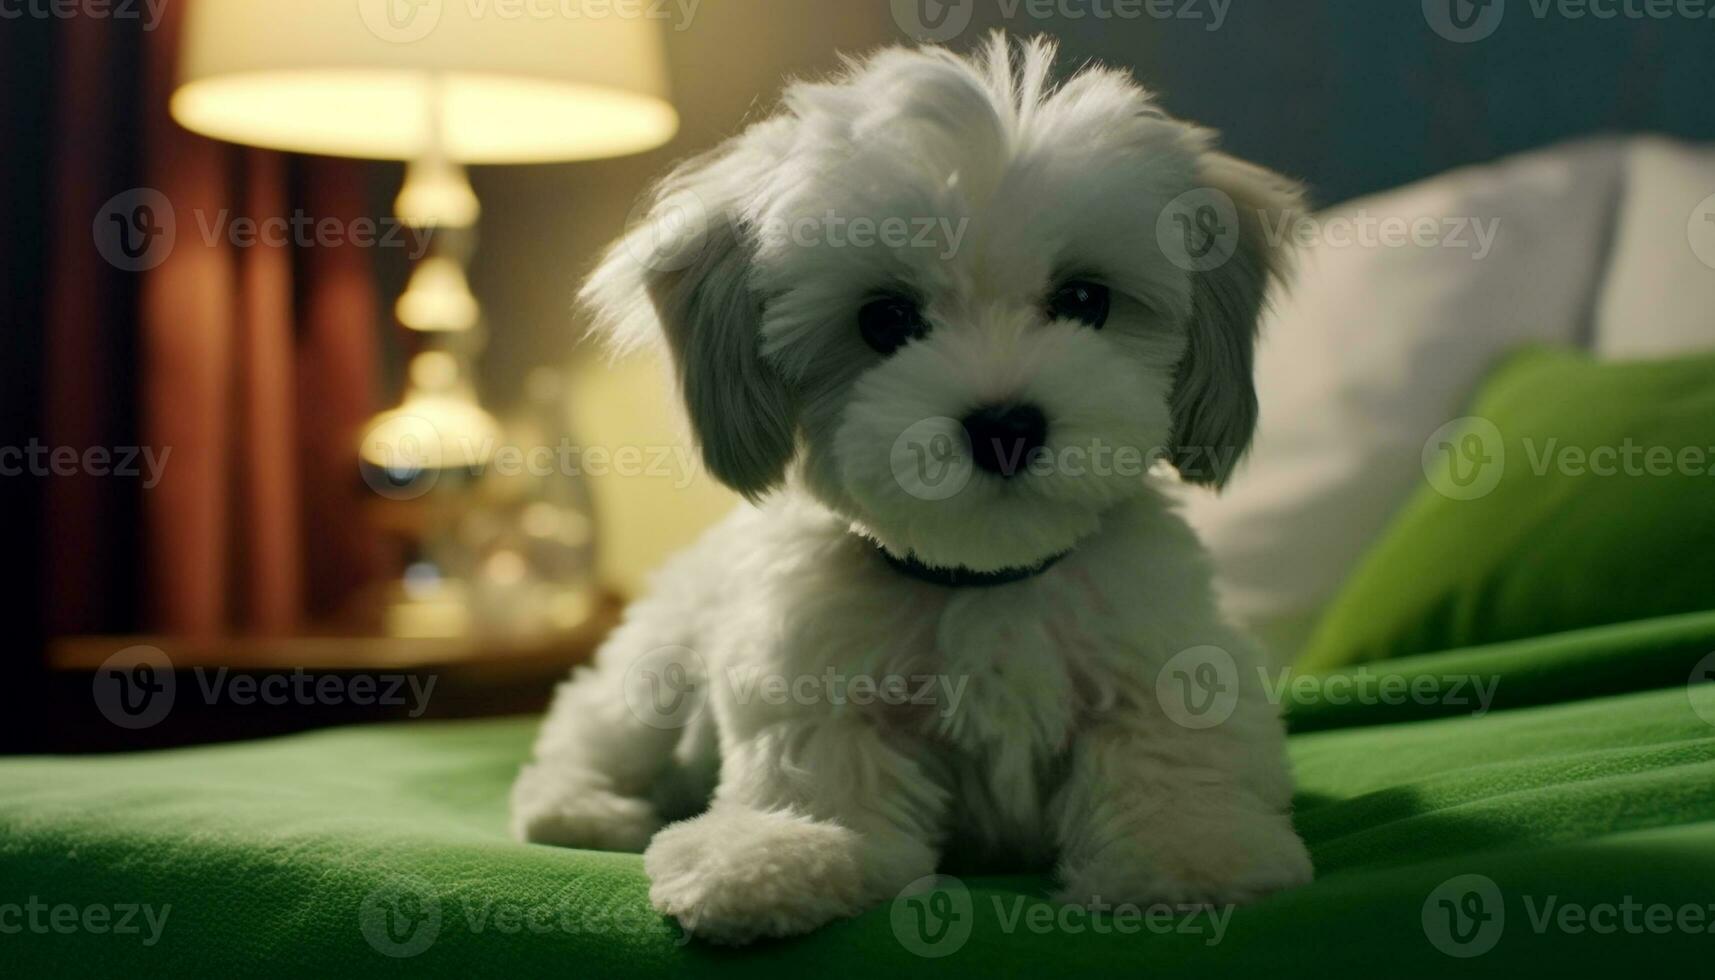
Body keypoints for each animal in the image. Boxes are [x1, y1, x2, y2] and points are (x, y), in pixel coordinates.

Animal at [507, 36, 1310, 940]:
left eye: (1084, 299)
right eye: (883, 320)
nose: (1004, 425)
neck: (984, 578)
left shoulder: (1164, 654)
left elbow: (1168, 749)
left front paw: (1187, 850)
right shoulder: (810, 683)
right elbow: (816, 768)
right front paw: (774, 853)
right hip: (655, 674)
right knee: (582, 739)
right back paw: (587, 813)